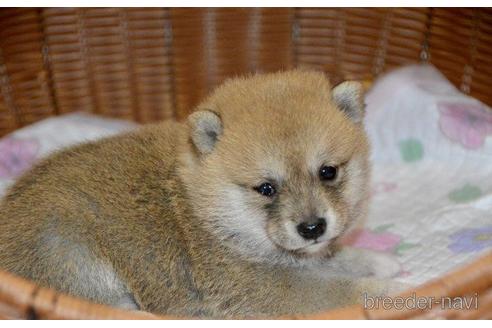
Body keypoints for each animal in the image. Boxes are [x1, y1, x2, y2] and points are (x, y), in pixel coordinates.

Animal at [0, 70, 400, 318]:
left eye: (328, 171)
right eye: (266, 188)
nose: (312, 227)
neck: (203, 206)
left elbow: (340, 258)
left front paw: (378, 261)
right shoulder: (267, 288)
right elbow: (343, 290)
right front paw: (393, 292)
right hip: (69, 252)